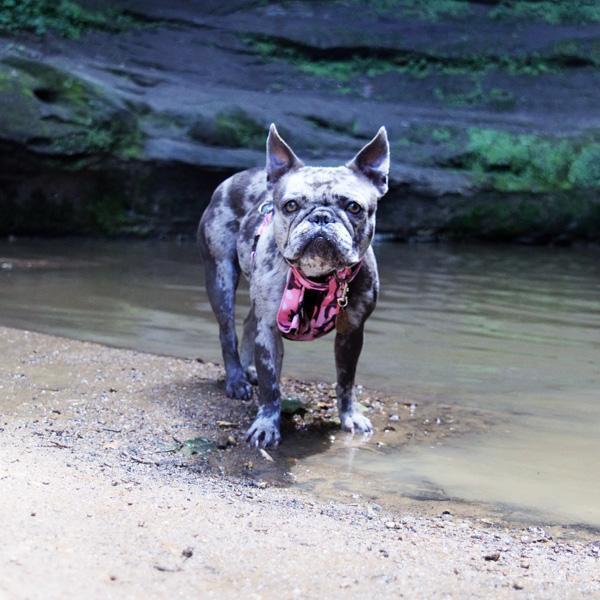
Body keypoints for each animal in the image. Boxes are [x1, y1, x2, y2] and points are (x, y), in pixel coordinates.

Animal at [199, 124, 392, 448]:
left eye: (354, 207)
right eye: (290, 205)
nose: (321, 216)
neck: (319, 279)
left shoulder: (352, 330)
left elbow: (346, 379)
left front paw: (349, 416)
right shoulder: (269, 328)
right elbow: (271, 385)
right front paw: (267, 423)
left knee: (248, 322)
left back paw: (248, 370)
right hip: (220, 274)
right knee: (227, 331)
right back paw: (237, 379)